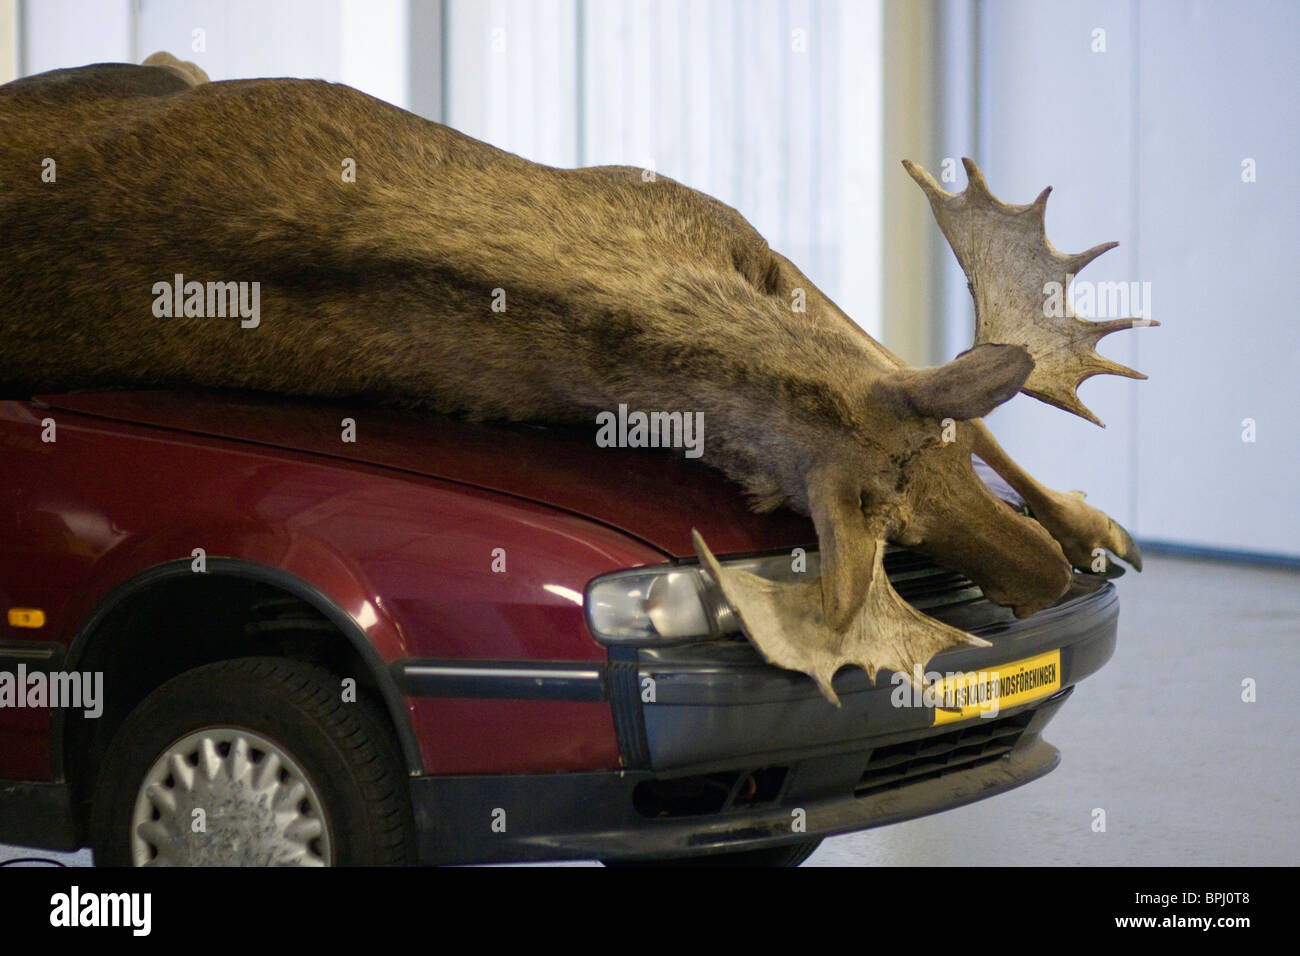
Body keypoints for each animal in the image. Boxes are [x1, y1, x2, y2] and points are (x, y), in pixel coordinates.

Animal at [0, 55, 1155, 704]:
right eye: (885, 522)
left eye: (942, 456)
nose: (1037, 579)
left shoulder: (740, 234)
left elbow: (908, 363)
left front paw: (1093, 523)